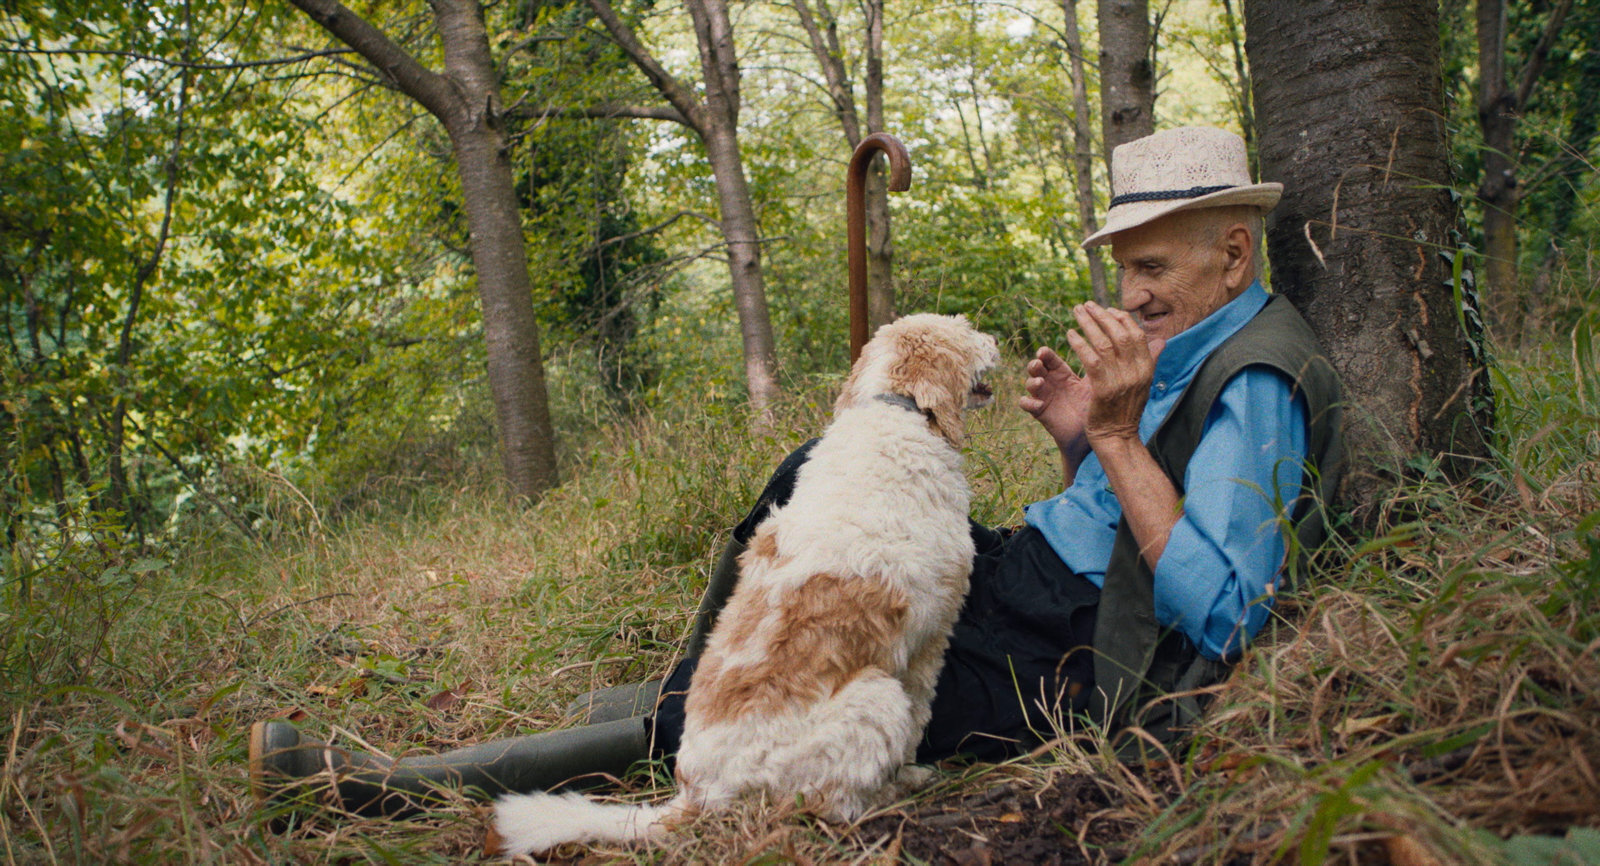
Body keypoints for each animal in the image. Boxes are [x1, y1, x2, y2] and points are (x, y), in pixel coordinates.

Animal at [492, 313, 998, 851]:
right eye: (964, 330)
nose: (995, 340)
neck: (892, 411)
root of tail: (699, 791)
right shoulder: (931, 639)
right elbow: (922, 713)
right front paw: (913, 765)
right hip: (876, 698)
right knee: (829, 804)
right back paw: (901, 788)